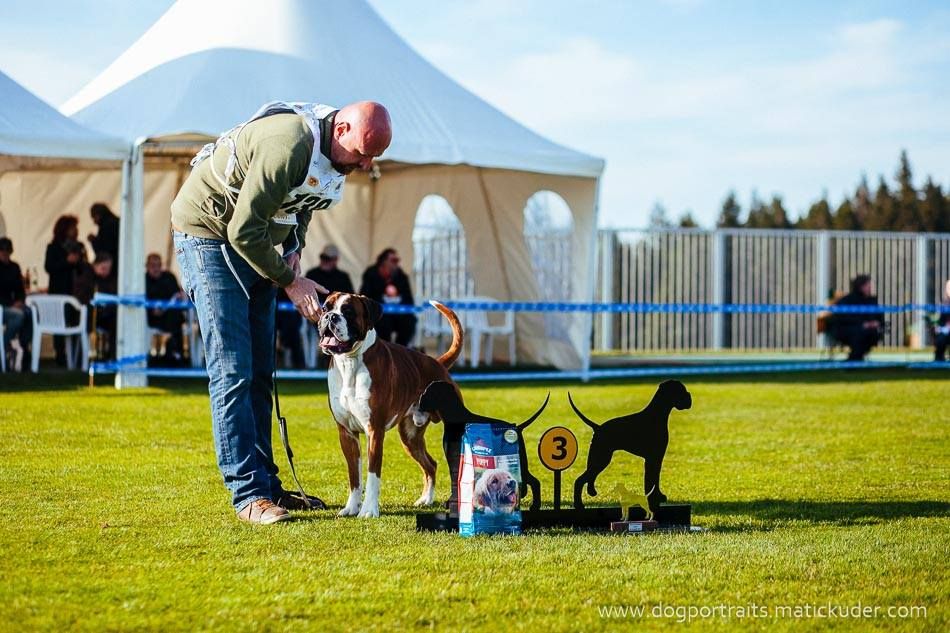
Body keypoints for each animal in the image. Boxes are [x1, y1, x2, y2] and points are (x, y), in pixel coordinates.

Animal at [318, 294, 462, 516]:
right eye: (325, 308)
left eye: (348, 311)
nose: (330, 317)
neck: (350, 362)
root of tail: (438, 363)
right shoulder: (347, 433)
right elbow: (354, 475)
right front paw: (351, 507)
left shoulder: (374, 431)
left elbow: (372, 475)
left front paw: (368, 510)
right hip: (410, 438)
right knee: (431, 464)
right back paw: (426, 499)